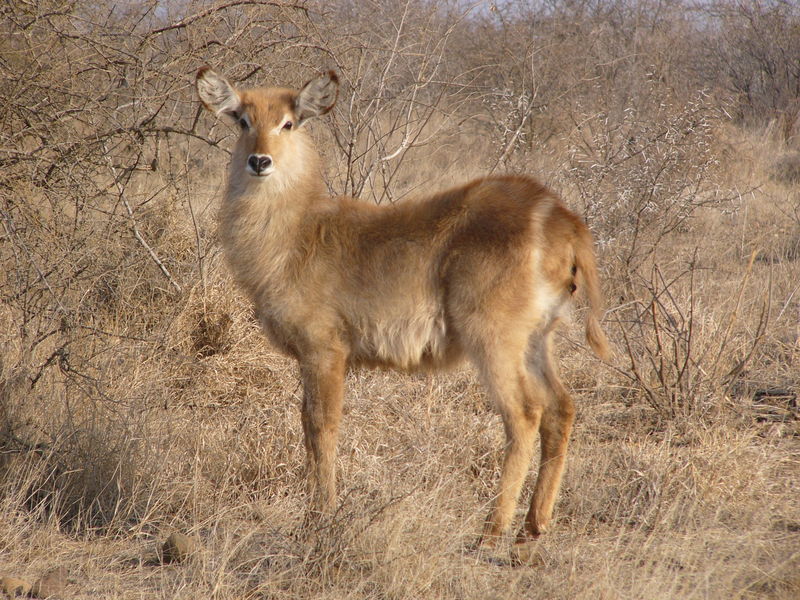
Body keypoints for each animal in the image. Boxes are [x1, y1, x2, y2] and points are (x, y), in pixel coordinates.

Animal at [197, 68, 608, 548]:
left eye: (289, 123)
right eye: (243, 120)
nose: (259, 162)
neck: (297, 232)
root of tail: (560, 217)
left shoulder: (324, 351)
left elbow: (320, 426)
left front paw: (320, 517)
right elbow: (309, 426)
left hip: (493, 339)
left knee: (524, 414)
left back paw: (491, 531)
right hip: (537, 340)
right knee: (561, 408)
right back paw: (533, 526)